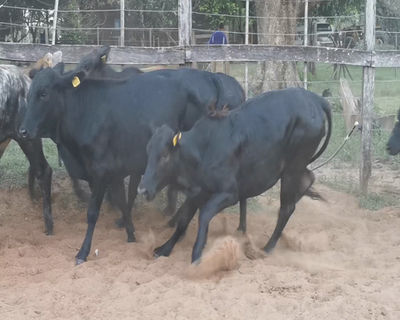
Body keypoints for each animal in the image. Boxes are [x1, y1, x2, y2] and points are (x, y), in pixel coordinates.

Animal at [138, 87, 332, 262]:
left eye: (165, 155)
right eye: (147, 151)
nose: (143, 190)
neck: (203, 149)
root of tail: (315, 99)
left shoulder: (230, 193)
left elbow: (204, 214)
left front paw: (197, 254)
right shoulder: (197, 192)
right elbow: (184, 221)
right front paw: (165, 248)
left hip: (291, 169)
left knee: (287, 208)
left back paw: (267, 248)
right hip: (296, 168)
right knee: (307, 180)